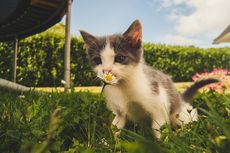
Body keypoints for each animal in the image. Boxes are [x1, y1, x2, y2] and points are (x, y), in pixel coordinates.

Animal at [80, 19, 218, 138]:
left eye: (119, 58)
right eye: (98, 60)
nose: (106, 70)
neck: (124, 86)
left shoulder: (159, 104)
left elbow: (158, 128)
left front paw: (162, 143)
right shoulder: (119, 112)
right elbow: (115, 127)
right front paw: (107, 143)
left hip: (178, 112)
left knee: (188, 115)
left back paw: (185, 131)